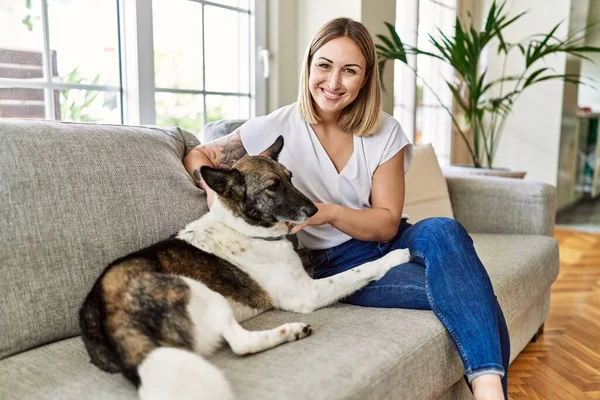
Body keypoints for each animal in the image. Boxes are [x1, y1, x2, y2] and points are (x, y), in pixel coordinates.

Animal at [78, 136, 408, 398]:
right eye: (273, 187)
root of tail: (109, 314)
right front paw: (397, 256)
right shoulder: (306, 294)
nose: (315, 210)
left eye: (291, 177)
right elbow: (361, 269)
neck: (244, 227)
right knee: (240, 344)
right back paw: (290, 331)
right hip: (204, 293)